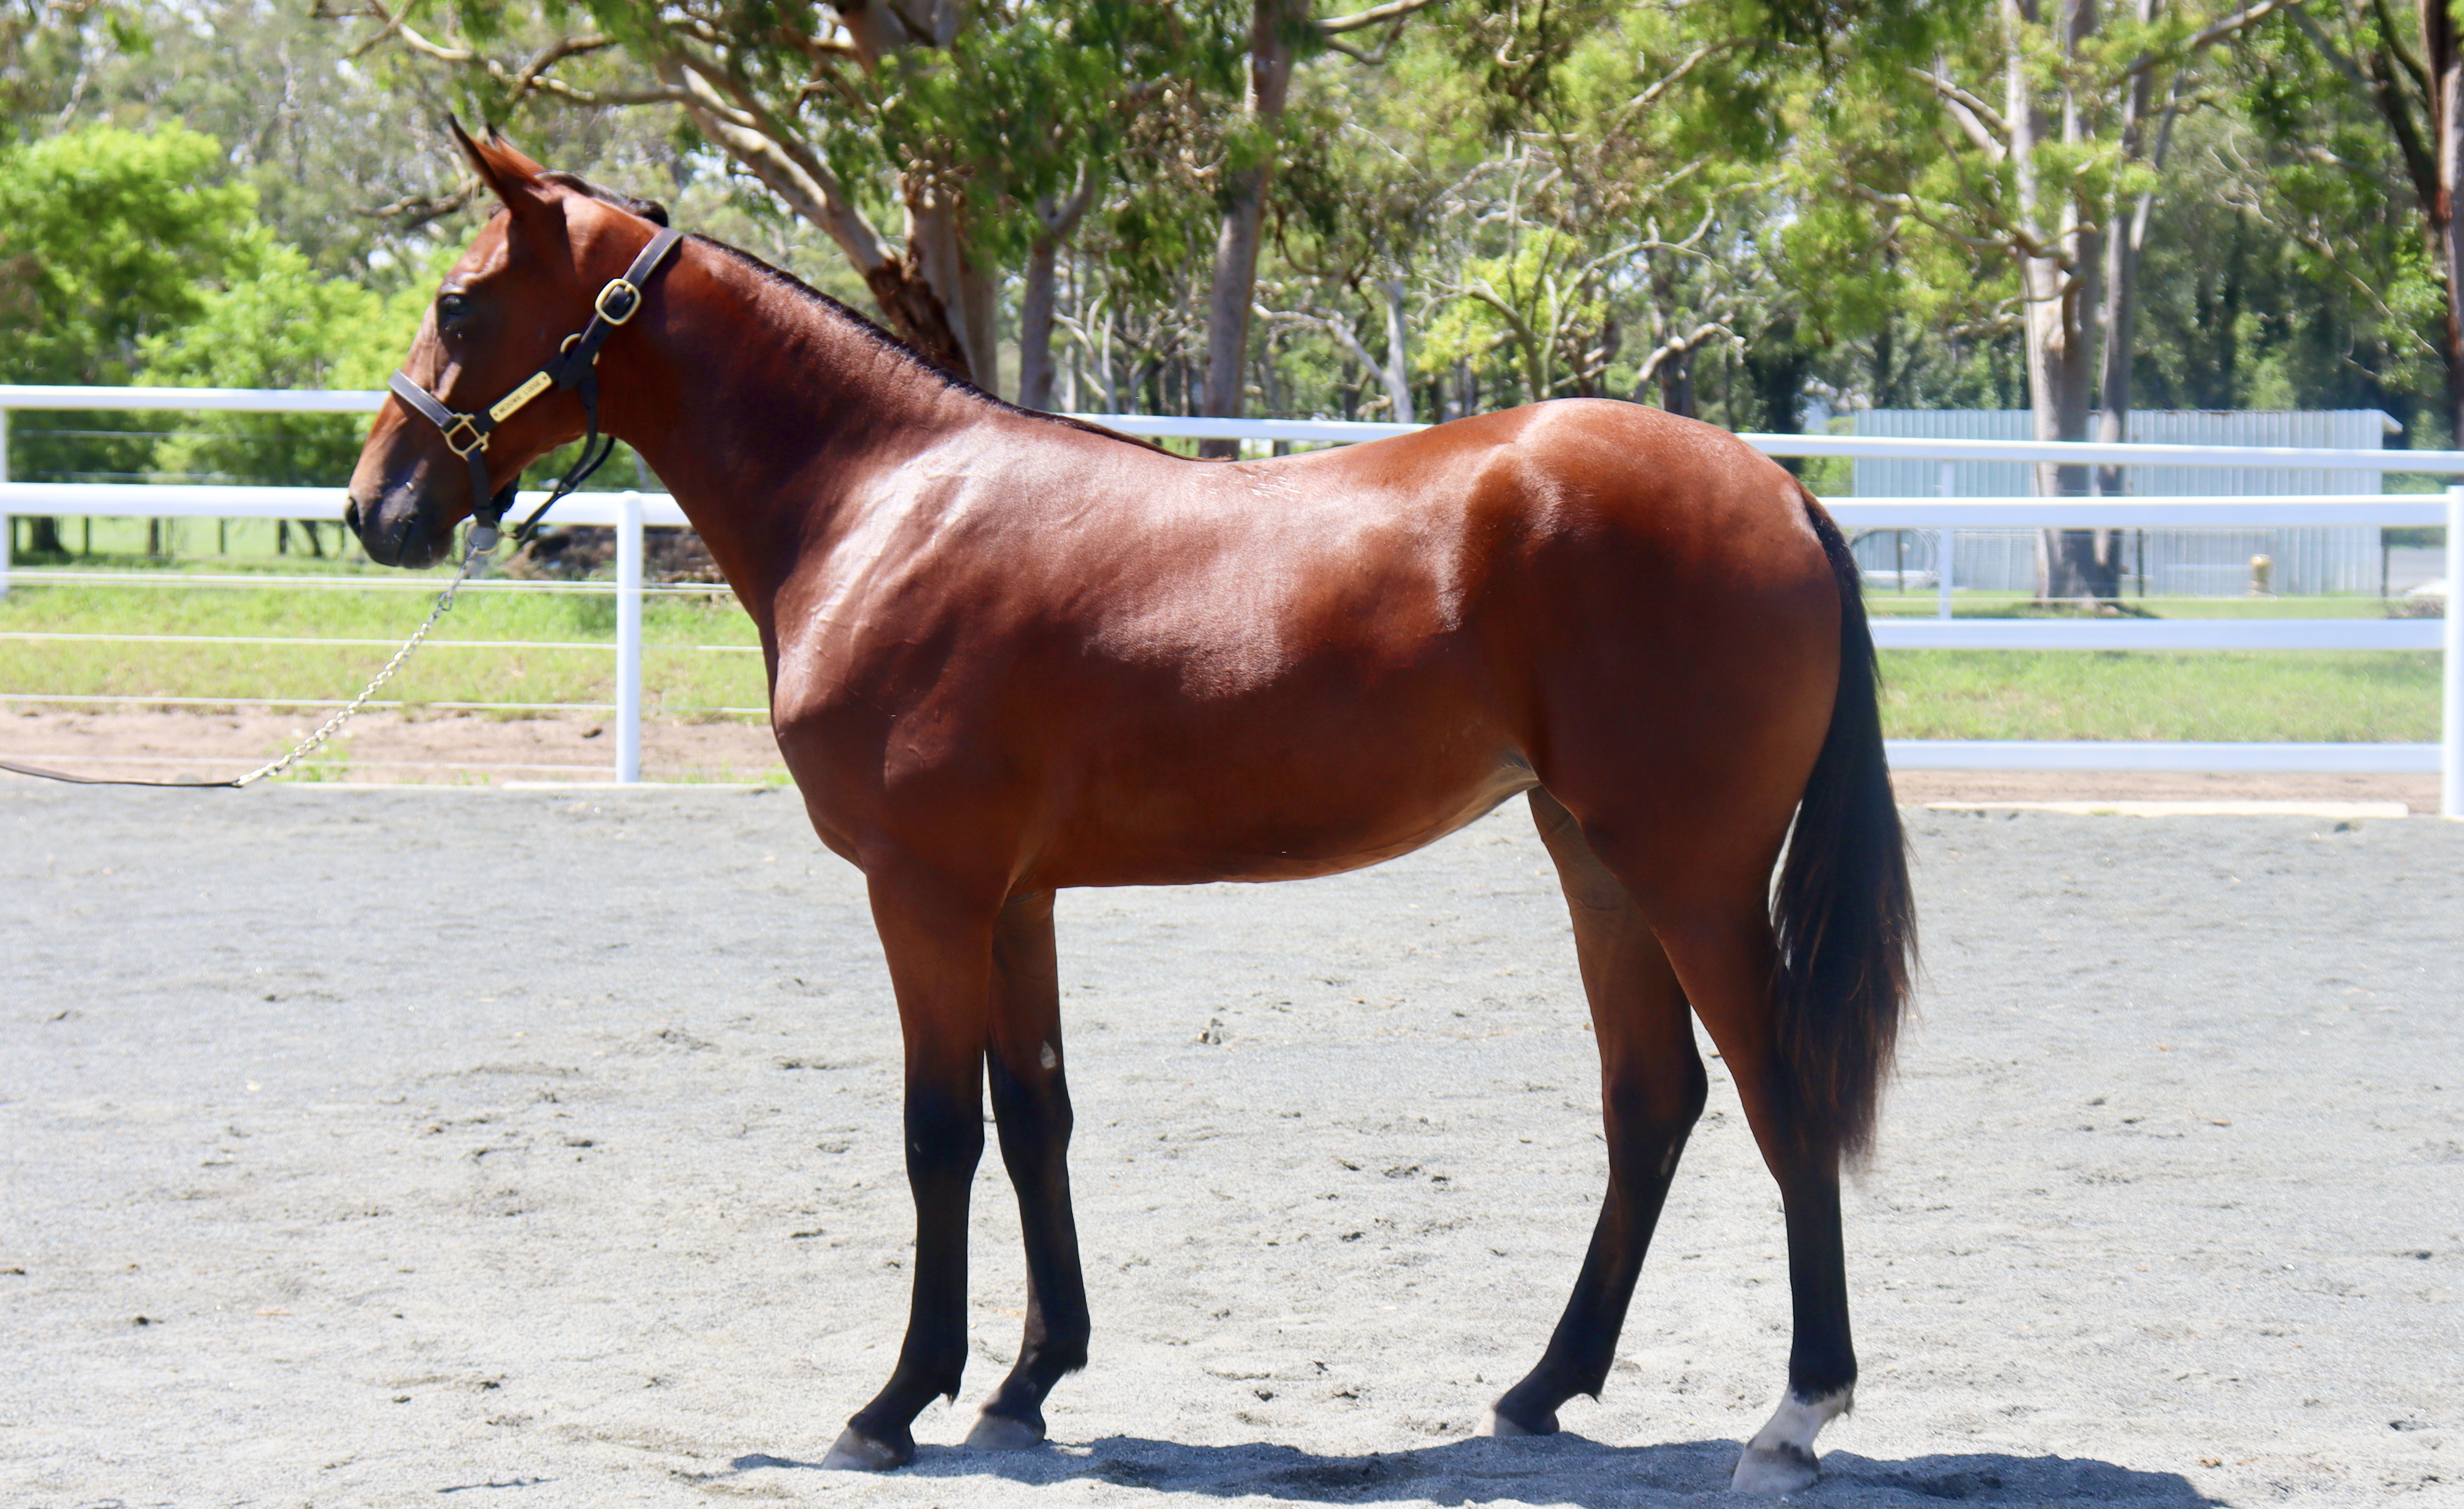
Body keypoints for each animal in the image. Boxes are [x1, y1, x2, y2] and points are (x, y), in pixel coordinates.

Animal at [345, 125, 1915, 1494]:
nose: (375, 507)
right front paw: (1026, 1383)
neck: (878, 506)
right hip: (1594, 859)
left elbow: (938, 1131)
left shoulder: (922, 890)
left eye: (457, 299)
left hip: (1687, 870)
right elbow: (1036, 1112)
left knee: (1780, 1091)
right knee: (1650, 1097)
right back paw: (1540, 1387)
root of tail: (1777, 489)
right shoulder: (1014, 897)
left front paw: (893, 1402)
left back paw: (1793, 1413)